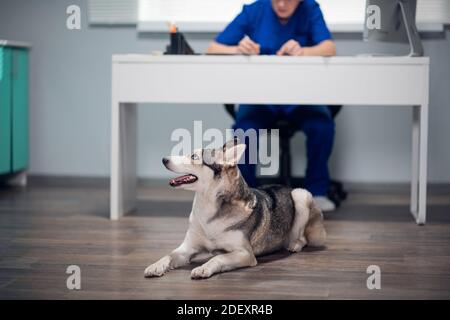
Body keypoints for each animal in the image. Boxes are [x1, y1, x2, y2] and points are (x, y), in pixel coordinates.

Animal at [146, 139, 326, 278]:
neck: (207, 207)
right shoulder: (187, 248)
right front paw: (156, 265)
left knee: (303, 238)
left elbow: (217, 258)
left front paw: (204, 267)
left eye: (193, 157)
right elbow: (169, 255)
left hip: (301, 195)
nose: (163, 159)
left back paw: (294, 244)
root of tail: (286, 186)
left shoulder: (245, 254)